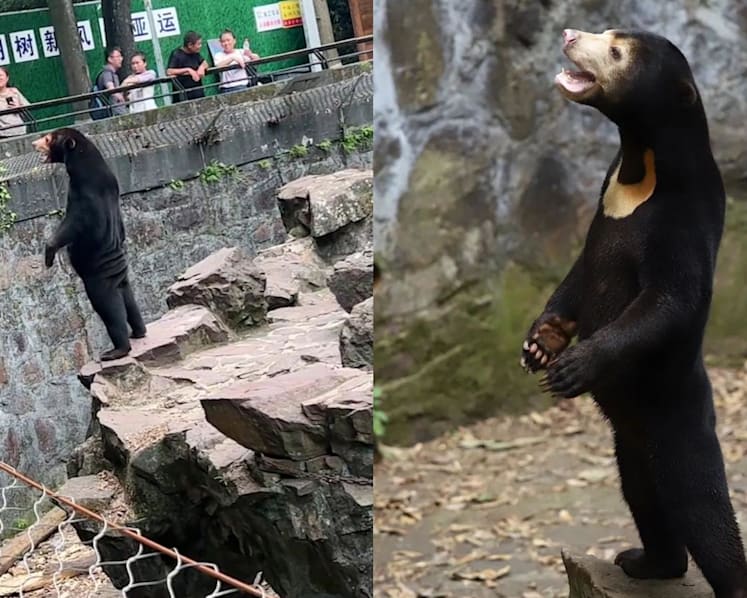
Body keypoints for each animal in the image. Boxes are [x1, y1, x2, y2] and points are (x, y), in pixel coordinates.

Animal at [32, 127, 147, 361]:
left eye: (48, 138)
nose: (33, 144)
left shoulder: (83, 194)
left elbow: (71, 226)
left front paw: (48, 255)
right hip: (122, 280)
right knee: (130, 301)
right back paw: (139, 331)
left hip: (99, 281)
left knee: (110, 309)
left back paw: (116, 350)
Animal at [521, 29, 747, 597]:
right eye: (607, 32)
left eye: (616, 52)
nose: (568, 34)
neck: (640, 164)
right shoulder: (603, 199)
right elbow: (580, 273)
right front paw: (539, 345)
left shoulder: (682, 218)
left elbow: (669, 298)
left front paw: (572, 367)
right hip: (629, 444)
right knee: (644, 495)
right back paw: (646, 561)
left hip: (675, 417)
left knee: (701, 506)